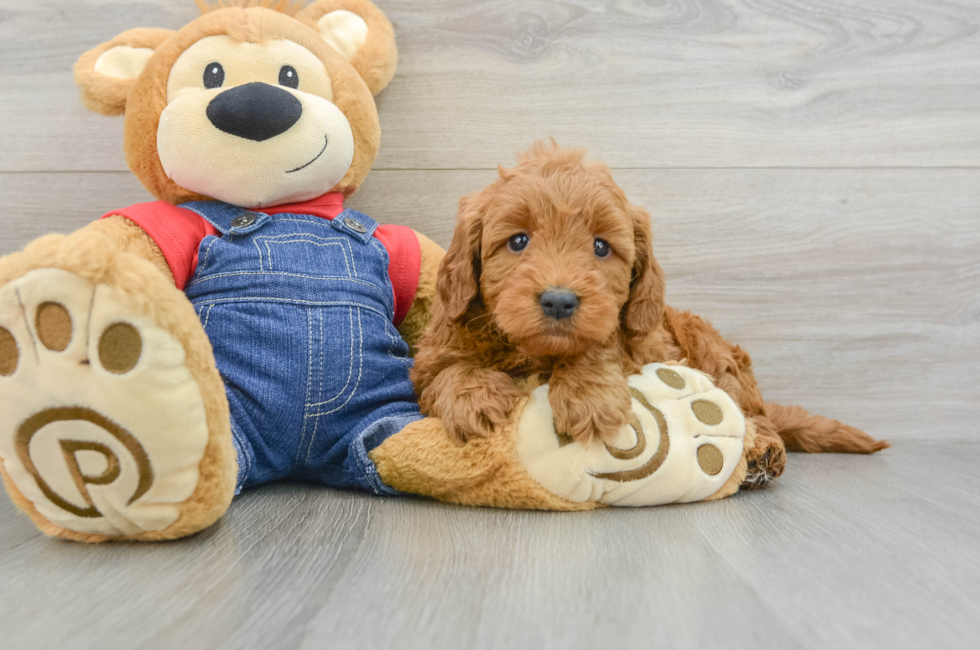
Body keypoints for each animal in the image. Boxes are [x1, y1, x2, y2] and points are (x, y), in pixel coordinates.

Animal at [410, 143, 884, 486]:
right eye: (518, 241)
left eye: (601, 247)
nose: (559, 300)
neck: (537, 353)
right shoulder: (432, 356)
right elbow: (447, 372)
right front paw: (476, 398)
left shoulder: (642, 344)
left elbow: (603, 344)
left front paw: (587, 396)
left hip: (715, 353)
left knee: (751, 413)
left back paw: (761, 451)